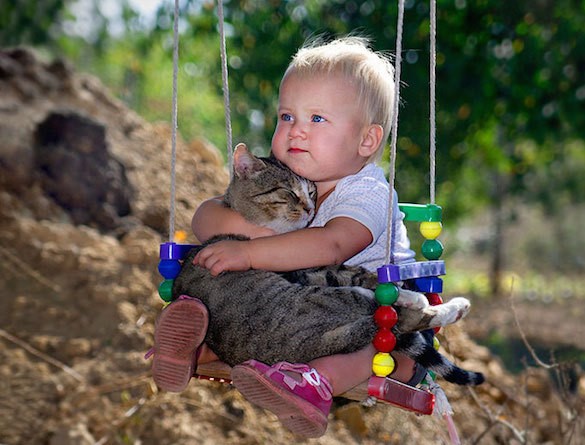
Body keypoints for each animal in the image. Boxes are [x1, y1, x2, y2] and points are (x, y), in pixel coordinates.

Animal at [173, 143, 484, 386]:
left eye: (311, 192)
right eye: (288, 192)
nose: (311, 208)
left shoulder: (310, 267)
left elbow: (355, 272)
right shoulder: (307, 270)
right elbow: (358, 274)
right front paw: (408, 293)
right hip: (329, 300)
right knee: (398, 317)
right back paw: (440, 304)